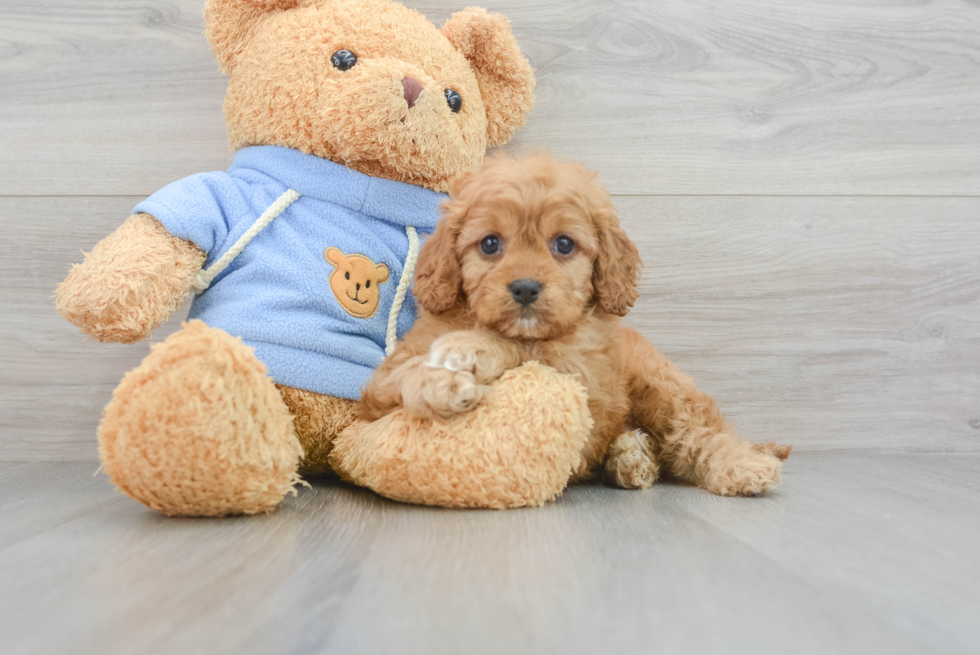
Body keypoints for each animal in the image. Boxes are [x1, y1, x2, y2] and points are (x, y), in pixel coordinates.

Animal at [360, 154, 788, 494]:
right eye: (490, 244)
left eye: (564, 244)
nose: (526, 288)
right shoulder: (379, 394)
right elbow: (399, 381)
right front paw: (438, 381)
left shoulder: (584, 380)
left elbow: (527, 348)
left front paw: (472, 348)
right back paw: (631, 456)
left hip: (660, 384)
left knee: (697, 433)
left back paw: (739, 465)